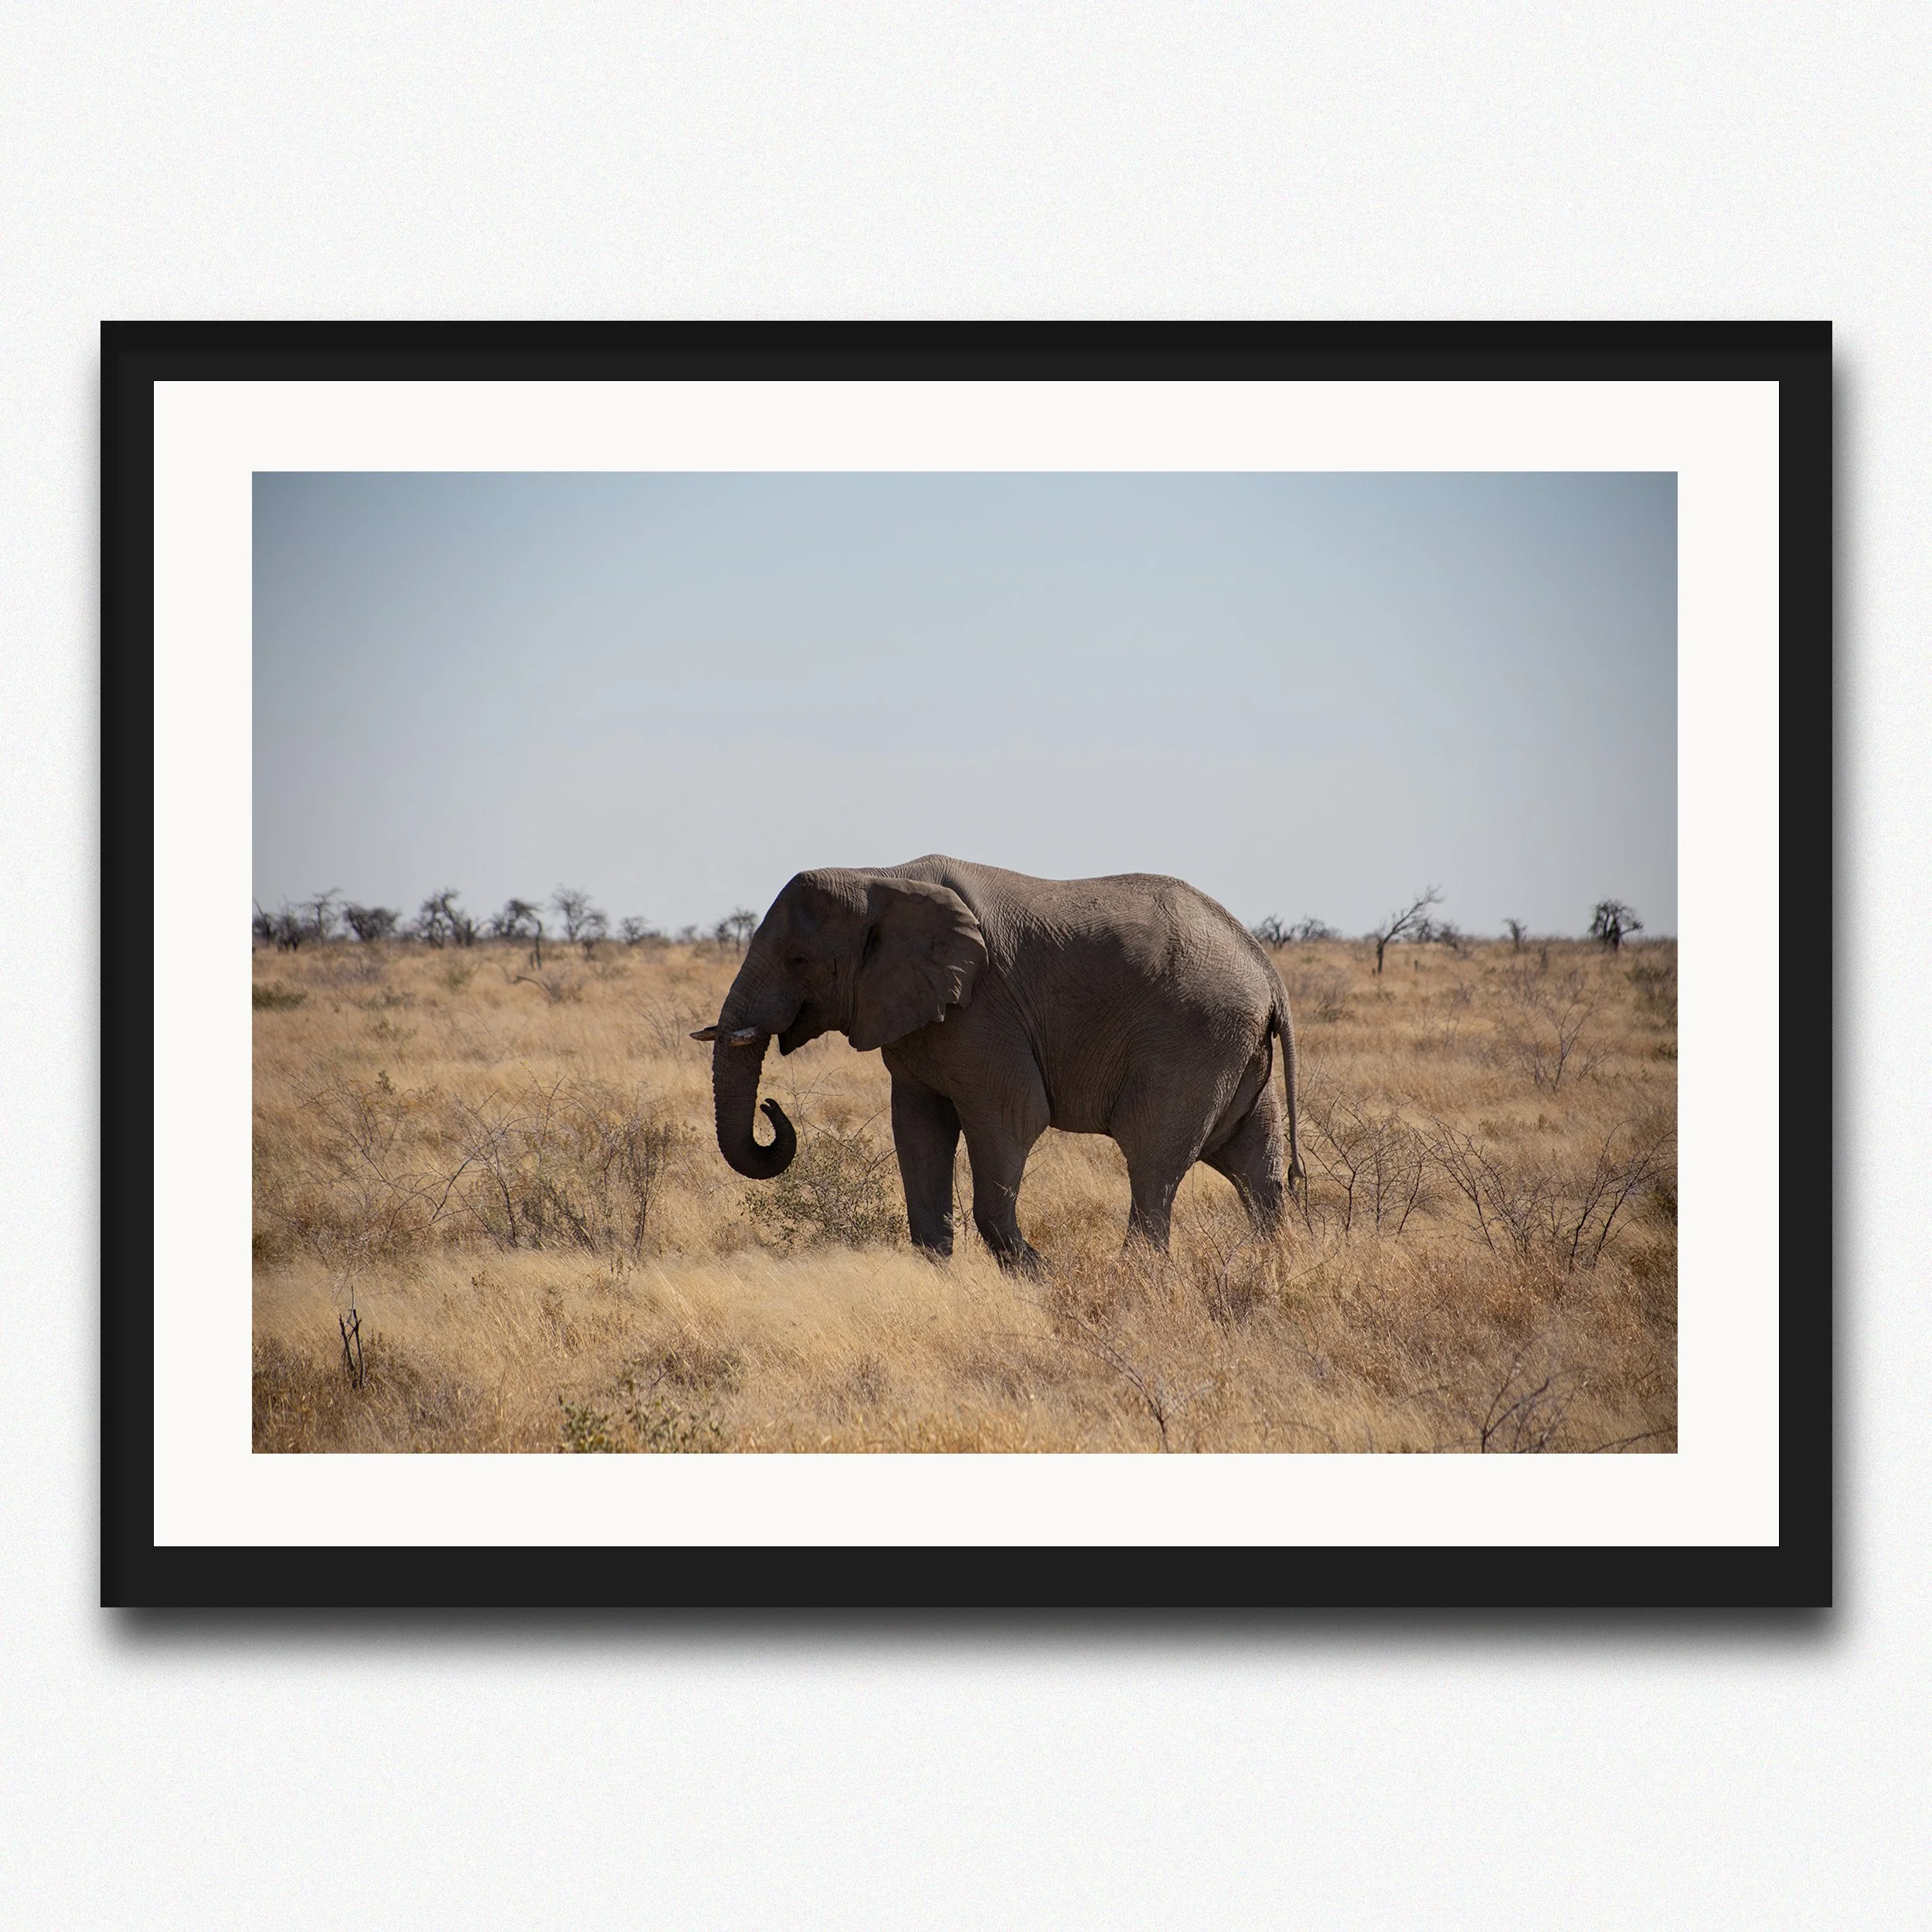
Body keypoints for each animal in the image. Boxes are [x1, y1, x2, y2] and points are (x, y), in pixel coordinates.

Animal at [692, 856, 1305, 1267]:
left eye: (799, 960)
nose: (772, 1107)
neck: (878, 874)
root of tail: (1266, 967)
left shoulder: (983, 1010)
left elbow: (1012, 1118)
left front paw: (1041, 1276)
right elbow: (917, 1128)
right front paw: (939, 1273)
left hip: (1194, 1037)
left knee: (1153, 1161)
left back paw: (1135, 1277)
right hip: (1236, 1050)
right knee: (1254, 1164)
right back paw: (1270, 1267)